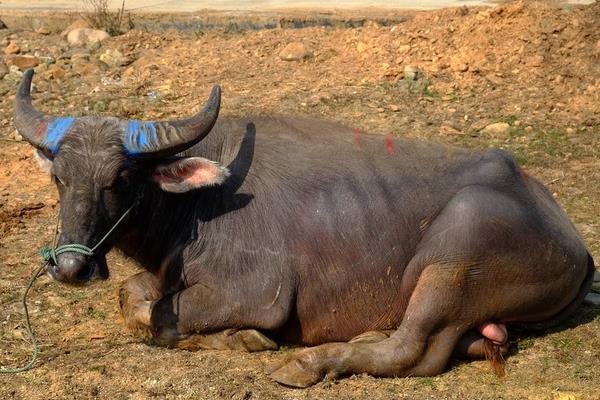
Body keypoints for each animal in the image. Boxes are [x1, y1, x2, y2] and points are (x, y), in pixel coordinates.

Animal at [15, 70, 596, 386]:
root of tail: (576, 245)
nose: (70, 267)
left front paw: (245, 338)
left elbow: (159, 314)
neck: (199, 205)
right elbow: (132, 296)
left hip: (455, 255)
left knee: (413, 350)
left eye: (120, 178)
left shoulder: (257, 292)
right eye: (60, 178)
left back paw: (308, 363)